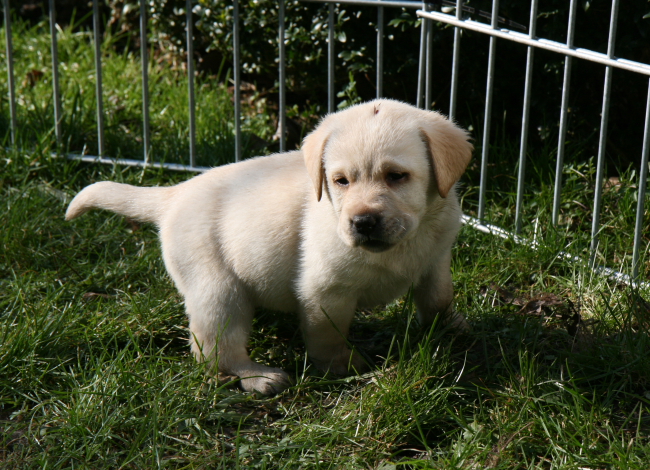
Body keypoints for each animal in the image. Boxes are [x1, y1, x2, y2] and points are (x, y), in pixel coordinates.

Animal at [66, 98, 470, 392]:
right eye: (341, 181)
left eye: (397, 176)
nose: (363, 222)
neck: (404, 242)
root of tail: (174, 194)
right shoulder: (324, 291)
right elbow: (328, 334)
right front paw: (340, 365)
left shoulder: (436, 259)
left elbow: (438, 297)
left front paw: (452, 328)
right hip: (218, 292)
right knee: (214, 350)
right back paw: (257, 377)